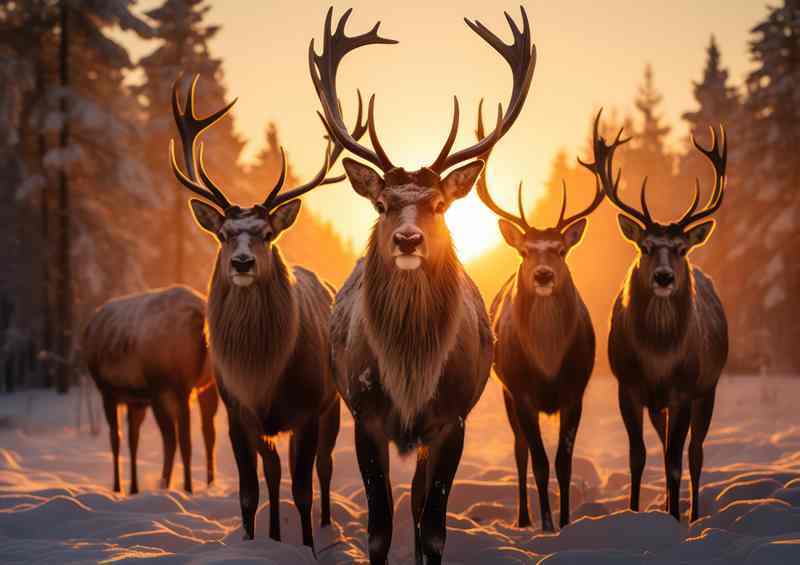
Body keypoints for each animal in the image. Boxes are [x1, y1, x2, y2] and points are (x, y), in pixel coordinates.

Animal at [83, 285, 218, 495]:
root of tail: (199, 314)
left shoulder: (108, 391)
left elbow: (116, 439)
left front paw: (117, 488)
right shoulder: (137, 399)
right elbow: (133, 440)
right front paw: (133, 488)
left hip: (170, 385)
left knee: (176, 439)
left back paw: (177, 486)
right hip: (207, 383)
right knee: (208, 433)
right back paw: (208, 485)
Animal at [169, 75, 365, 551]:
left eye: (266, 233)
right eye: (223, 234)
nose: (242, 263)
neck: (262, 371)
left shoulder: (308, 407)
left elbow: (303, 488)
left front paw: (310, 545)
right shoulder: (238, 410)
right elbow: (250, 489)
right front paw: (255, 539)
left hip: (333, 403)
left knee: (324, 468)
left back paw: (326, 526)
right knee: (274, 475)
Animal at [309, 8, 536, 564]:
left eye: (438, 204)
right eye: (382, 203)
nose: (408, 238)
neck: (410, 372)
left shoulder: (451, 419)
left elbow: (432, 528)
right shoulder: (366, 415)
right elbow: (378, 528)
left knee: (416, 503)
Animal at [475, 108, 603, 531]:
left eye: (562, 250)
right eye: (526, 251)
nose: (544, 275)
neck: (548, 365)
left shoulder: (575, 391)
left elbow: (563, 463)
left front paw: (565, 521)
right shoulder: (522, 392)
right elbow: (539, 461)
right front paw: (547, 523)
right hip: (505, 393)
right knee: (519, 452)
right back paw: (522, 517)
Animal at [591, 111, 729, 522]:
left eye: (682, 249)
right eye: (646, 246)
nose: (664, 277)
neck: (658, 357)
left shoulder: (685, 389)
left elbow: (674, 462)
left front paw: (675, 519)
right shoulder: (629, 386)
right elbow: (637, 457)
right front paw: (635, 512)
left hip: (708, 388)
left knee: (694, 454)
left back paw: (693, 512)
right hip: (660, 404)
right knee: (668, 444)